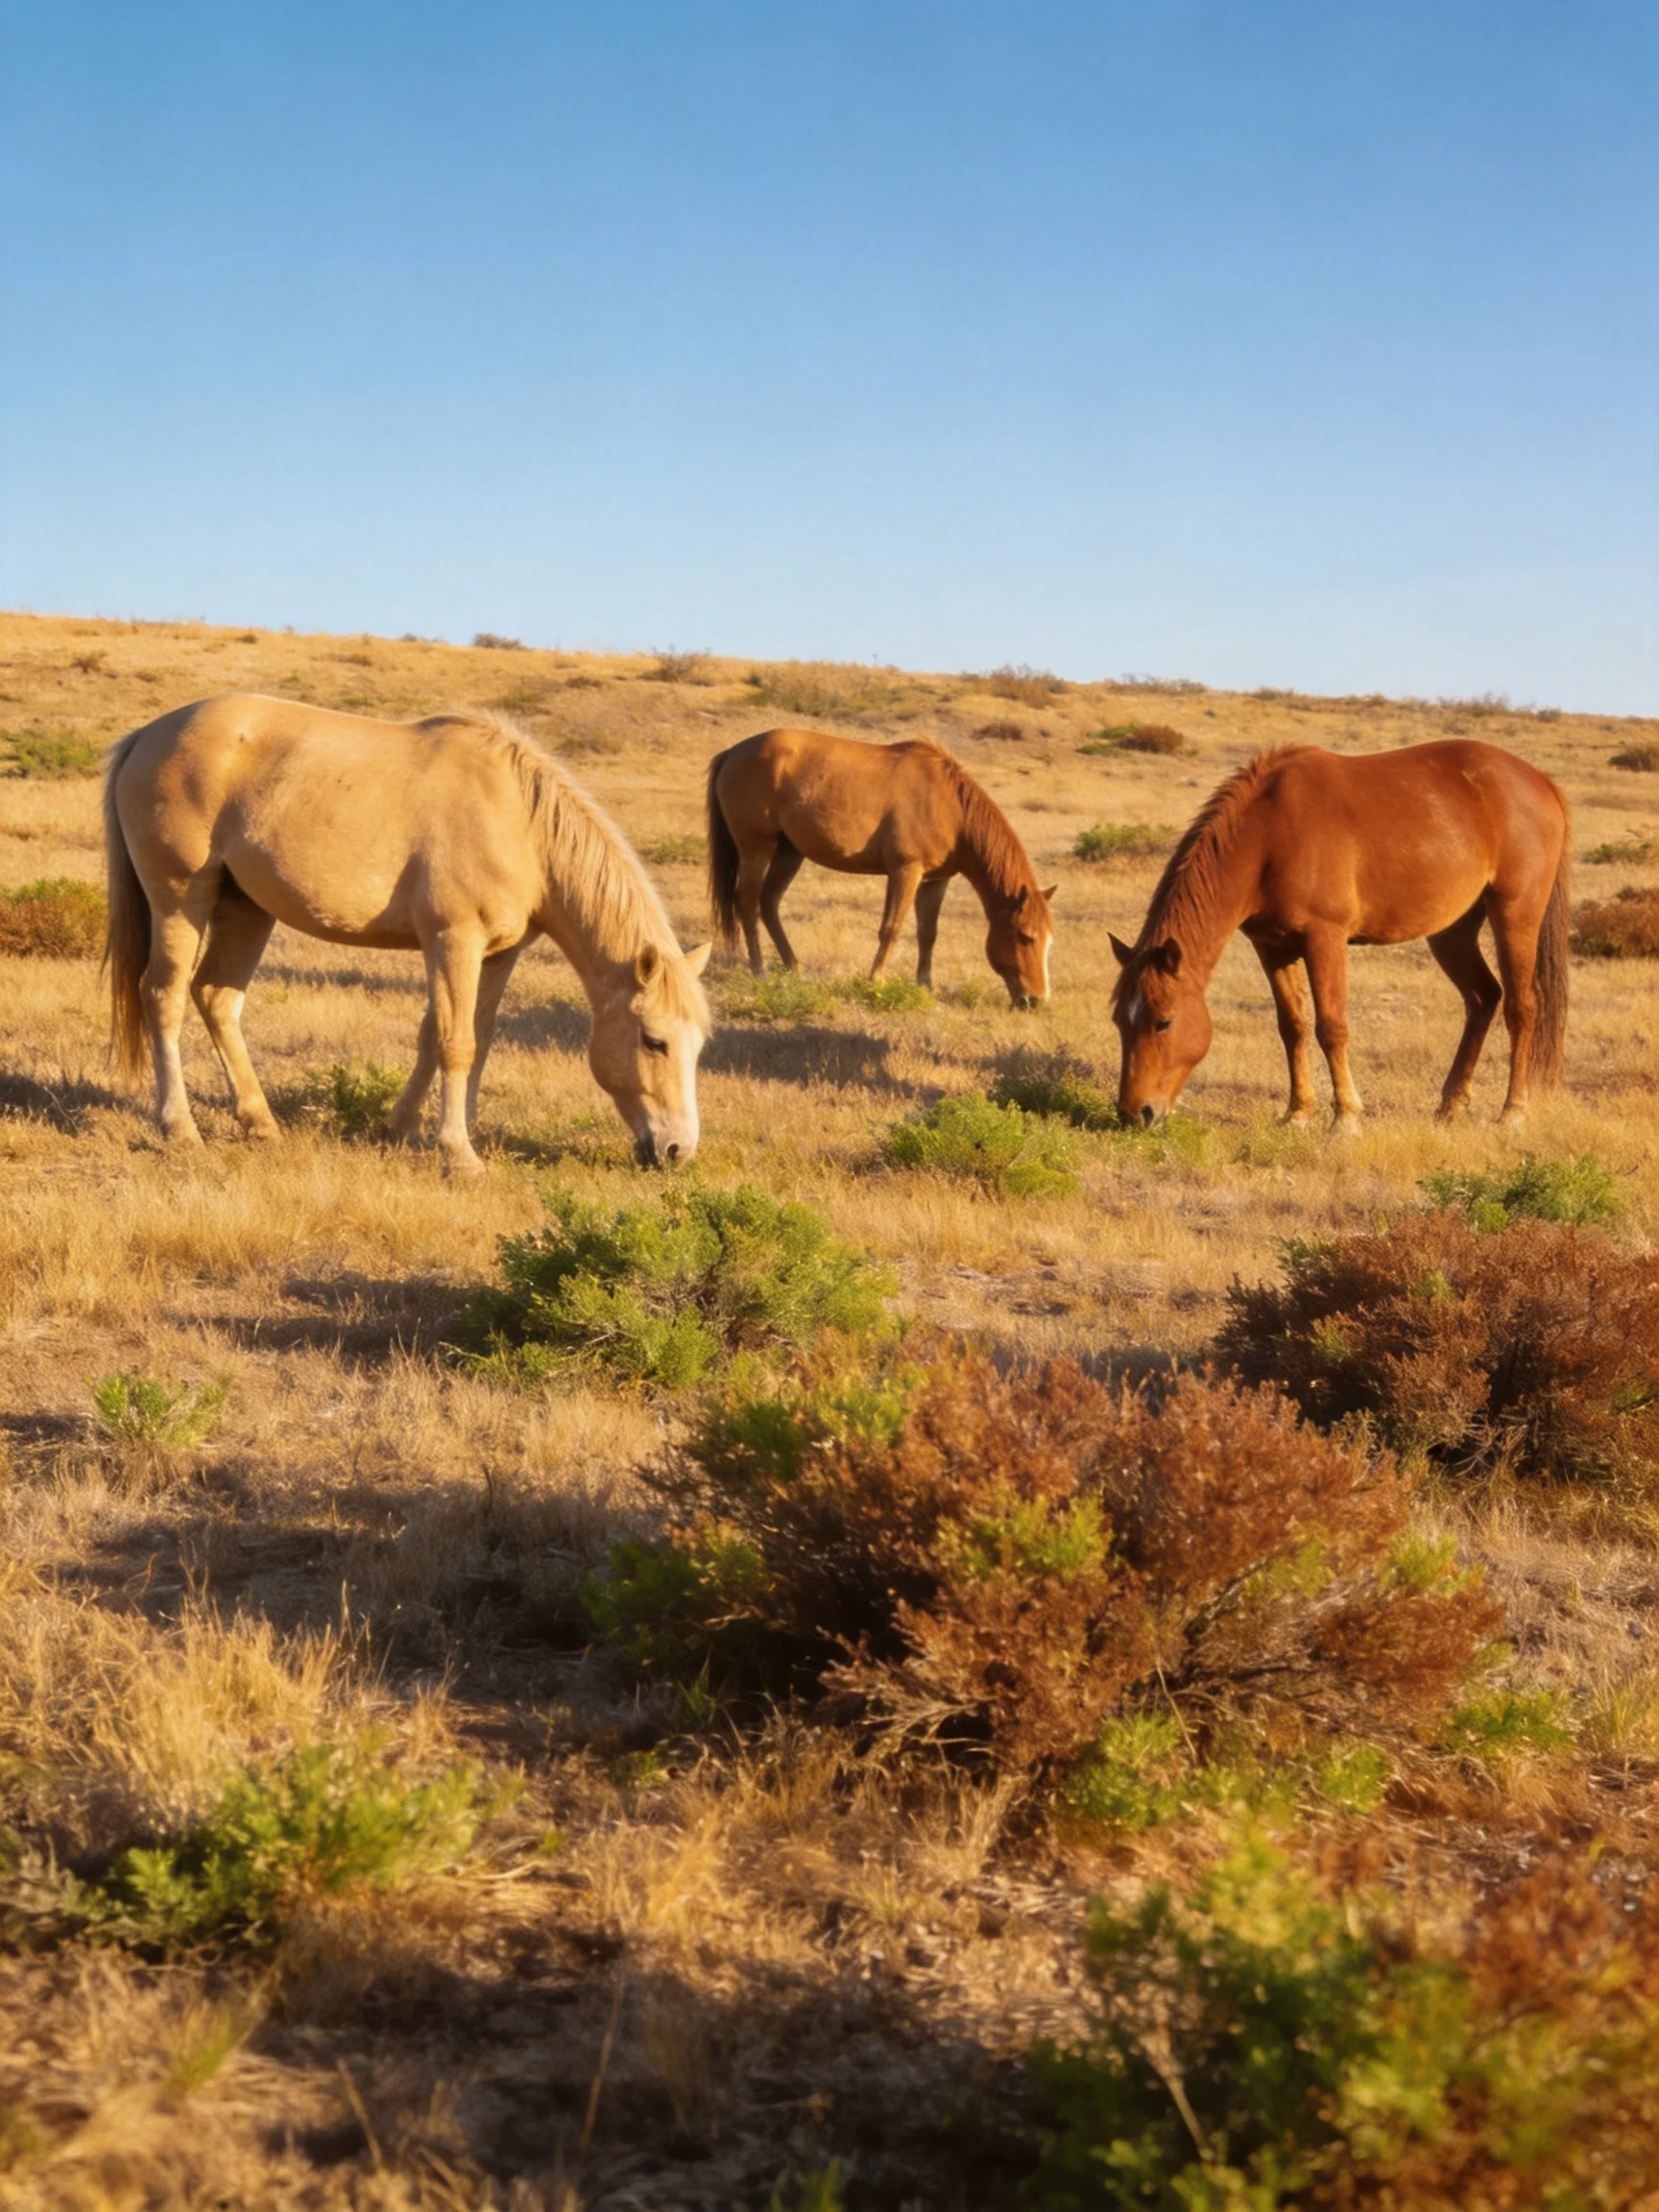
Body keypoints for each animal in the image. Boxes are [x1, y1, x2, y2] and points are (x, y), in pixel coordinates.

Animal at [103, 694, 711, 1175]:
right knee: (164, 995)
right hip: (181, 899)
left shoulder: (498, 955)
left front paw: (402, 1129)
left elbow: (461, 1036)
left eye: (699, 1045)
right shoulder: (453, 941)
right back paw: (180, 1128)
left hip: (246, 908)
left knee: (216, 996)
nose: (678, 1149)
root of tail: (146, 737)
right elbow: (455, 1042)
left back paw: (260, 1122)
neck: (516, 821)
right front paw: (459, 1155)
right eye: (653, 1040)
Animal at [706, 728, 1056, 1005]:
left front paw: (925, 987)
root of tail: (732, 753)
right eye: (1026, 937)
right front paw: (876, 981)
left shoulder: (934, 881)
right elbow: (892, 928)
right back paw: (759, 971)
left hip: (789, 854)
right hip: (757, 849)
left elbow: (928, 933)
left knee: (769, 903)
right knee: (748, 902)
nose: (1036, 1000)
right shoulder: (905, 871)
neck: (951, 808)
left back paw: (793, 967)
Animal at [1110, 739, 1571, 1130]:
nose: (1135, 1113)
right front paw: (1297, 1113)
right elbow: (1292, 1026)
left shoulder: (1325, 939)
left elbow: (1331, 1027)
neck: (1269, 835)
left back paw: (1512, 1112)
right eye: (1119, 1021)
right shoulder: (1272, 947)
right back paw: (1451, 1104)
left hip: (1515, 914)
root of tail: (1542, 781)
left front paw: (1345, 1119)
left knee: (1520, 1007)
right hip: (1451, 931)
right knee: (1482, 999)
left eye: (1163, 1022)